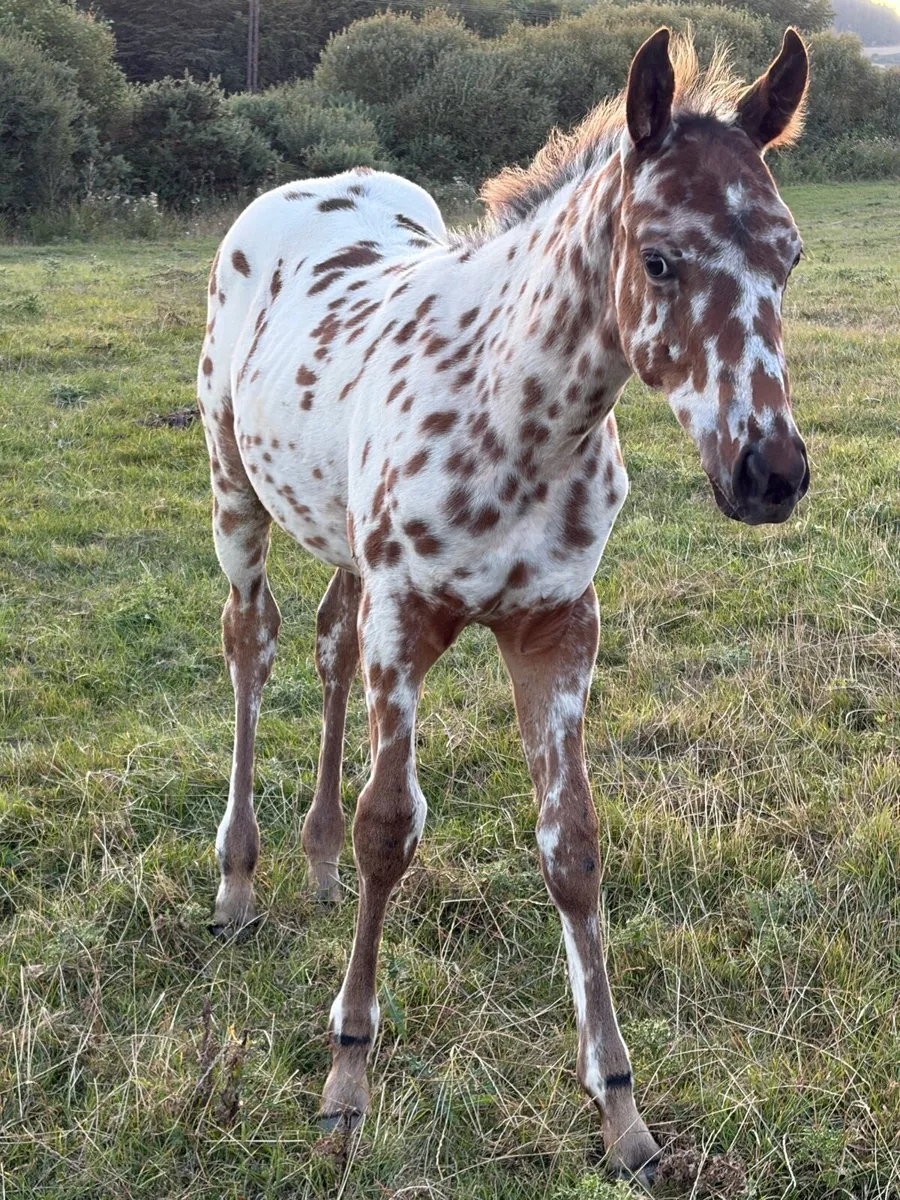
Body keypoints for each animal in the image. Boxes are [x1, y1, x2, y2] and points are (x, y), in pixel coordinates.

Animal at [196, 27, 810, 1181]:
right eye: (659, 258)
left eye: (788, 257)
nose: (770, 474)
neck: (513, 414)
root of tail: (302, 190)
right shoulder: (407, 617)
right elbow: (390, 827)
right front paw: (346, 1081)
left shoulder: (558, 628)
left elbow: (572, 848)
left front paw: (621, 1112)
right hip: (234, 492)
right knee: (252, 648)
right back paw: (241, 884)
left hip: (342, 538)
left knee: (326, 645)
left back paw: (314, 867)